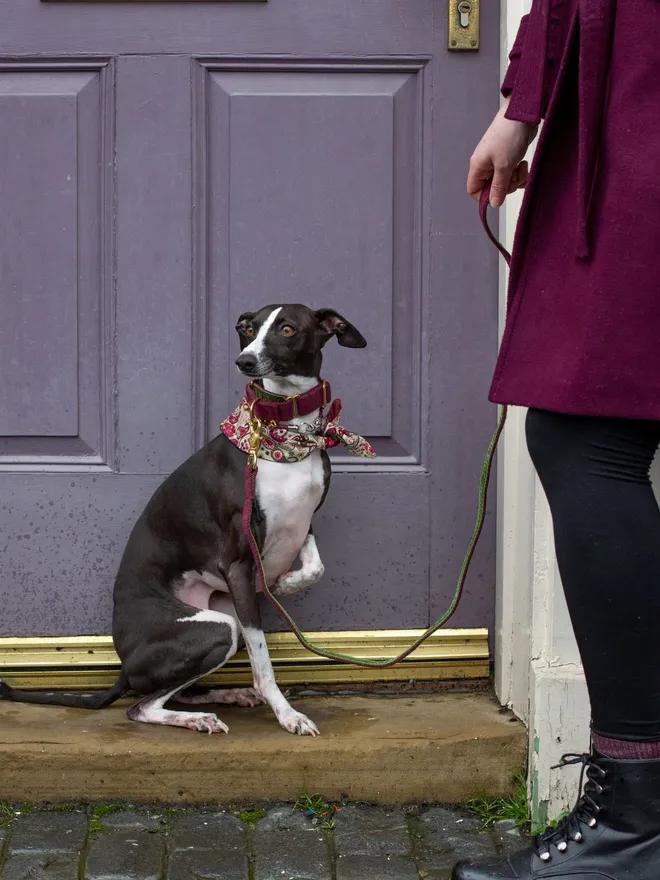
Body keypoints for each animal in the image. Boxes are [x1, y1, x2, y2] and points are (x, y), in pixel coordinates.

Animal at [0, 304, 368, 736]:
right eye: (248, 329)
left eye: (288, 328)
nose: (244, 361)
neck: (288, 435)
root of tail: (124, 665)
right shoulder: (238, 562)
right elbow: (264, 665)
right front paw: (287, 714)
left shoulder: (304, 522)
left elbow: (316, 567)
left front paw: (286, 583)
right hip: (218, 627)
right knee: (141, 706)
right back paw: (197, 718)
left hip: (227, 620)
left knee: (177, 691)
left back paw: (225, 696)